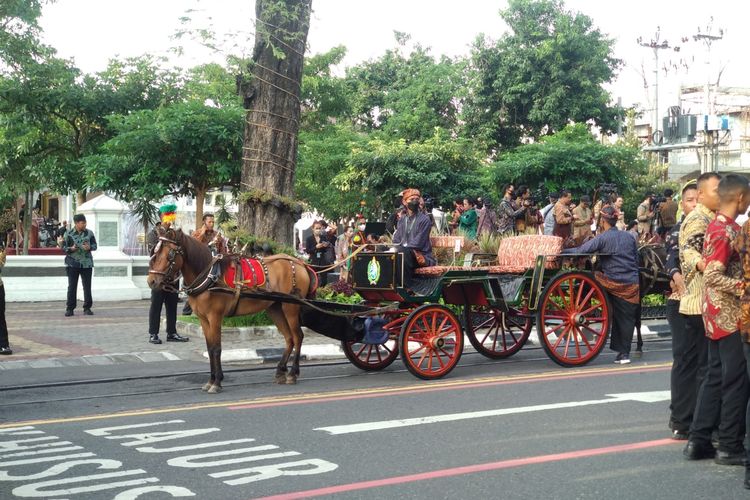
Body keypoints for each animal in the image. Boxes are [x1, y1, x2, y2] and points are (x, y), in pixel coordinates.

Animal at [147, 228, 314, 394]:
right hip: (275, 308)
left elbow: (216, 348)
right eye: (154, 252)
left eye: (170, 254)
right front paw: (211, 380)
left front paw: (217, 382)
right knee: (289, 338)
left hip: (290, 308)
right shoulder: (203, 319)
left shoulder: (215, 317)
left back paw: (292, 373)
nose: (151, 281)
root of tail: (300, 263)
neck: (209, 275)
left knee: (297, 336)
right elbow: (209, 348)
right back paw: (280, 371)